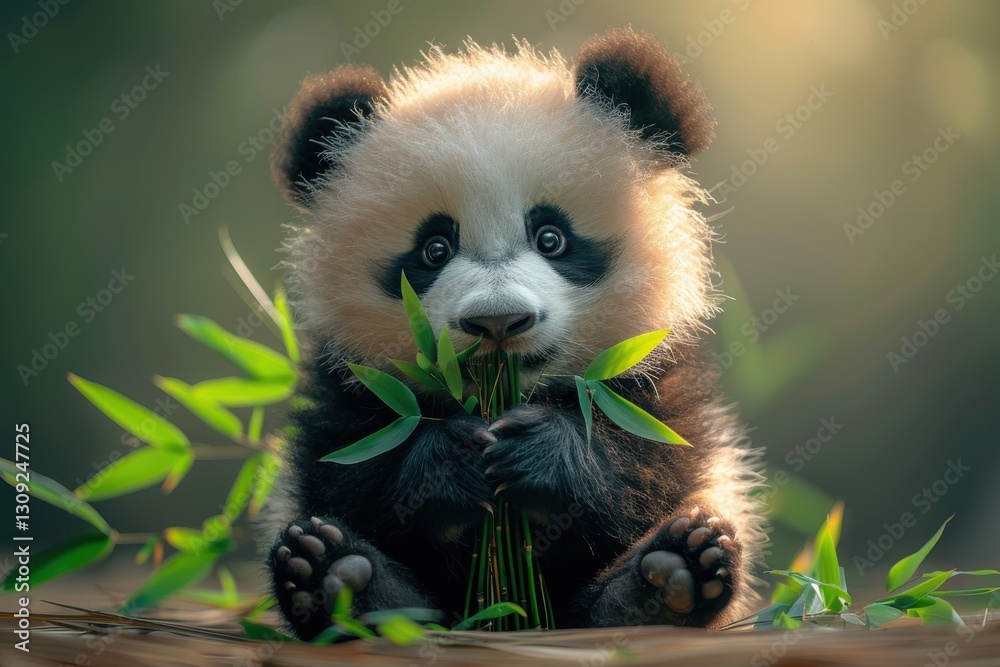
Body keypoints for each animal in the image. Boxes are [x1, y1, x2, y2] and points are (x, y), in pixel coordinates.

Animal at [264, 28, 765, 640]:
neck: (502, 397)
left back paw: (666, 579)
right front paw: (450, 460)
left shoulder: (654, 375)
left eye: (551, 237)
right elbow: (352, 474)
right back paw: (341, 580)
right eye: (434, 249)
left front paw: (542, 454)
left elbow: (651, 462)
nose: (497, 321)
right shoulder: (351, 384)